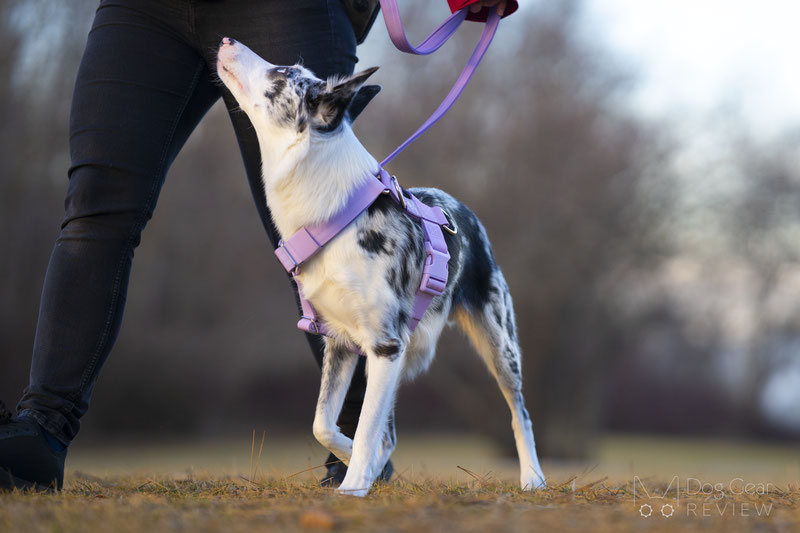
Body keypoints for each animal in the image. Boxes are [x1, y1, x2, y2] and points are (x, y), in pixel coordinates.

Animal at [216, 36, 548, 494]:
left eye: (282, 73)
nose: (227, 39)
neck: (335, 217)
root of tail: (464, 209)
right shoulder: (340, 343)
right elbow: (326, 424)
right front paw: (359, 463)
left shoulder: (385, 345)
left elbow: (366, 428)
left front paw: (354, 486)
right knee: (385, 429)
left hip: (499, 344)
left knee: (520, 411)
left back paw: (533, 477)